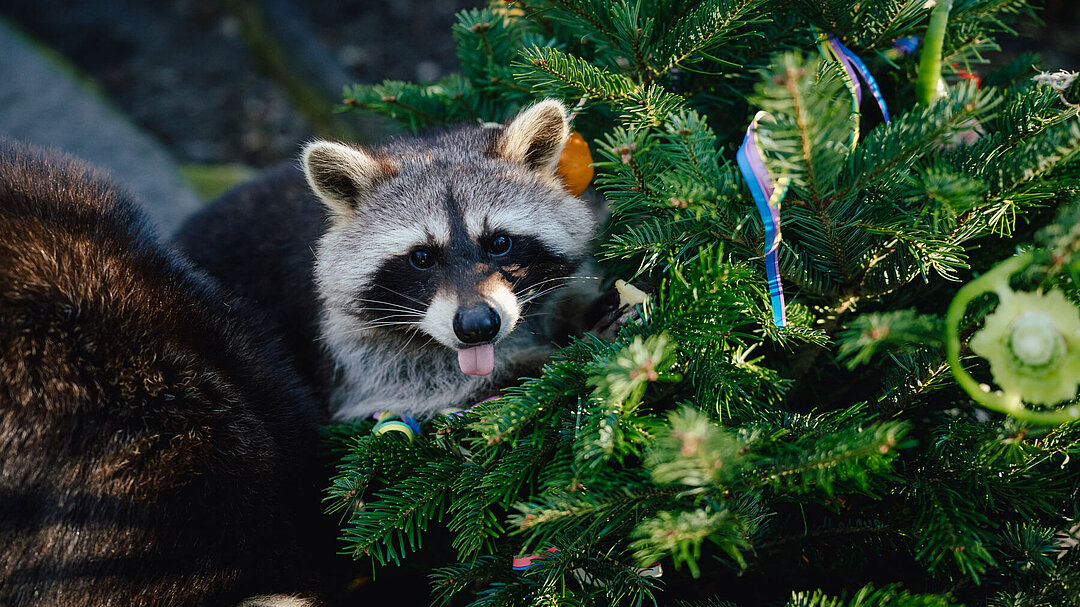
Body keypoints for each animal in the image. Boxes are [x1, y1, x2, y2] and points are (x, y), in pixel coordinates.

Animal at [177, 100, 600, 421]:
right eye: (421, 257)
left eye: (499, 243)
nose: (478, 327)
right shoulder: (340, 343)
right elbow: (409, 381)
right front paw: (527, 362)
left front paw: (576, 307)